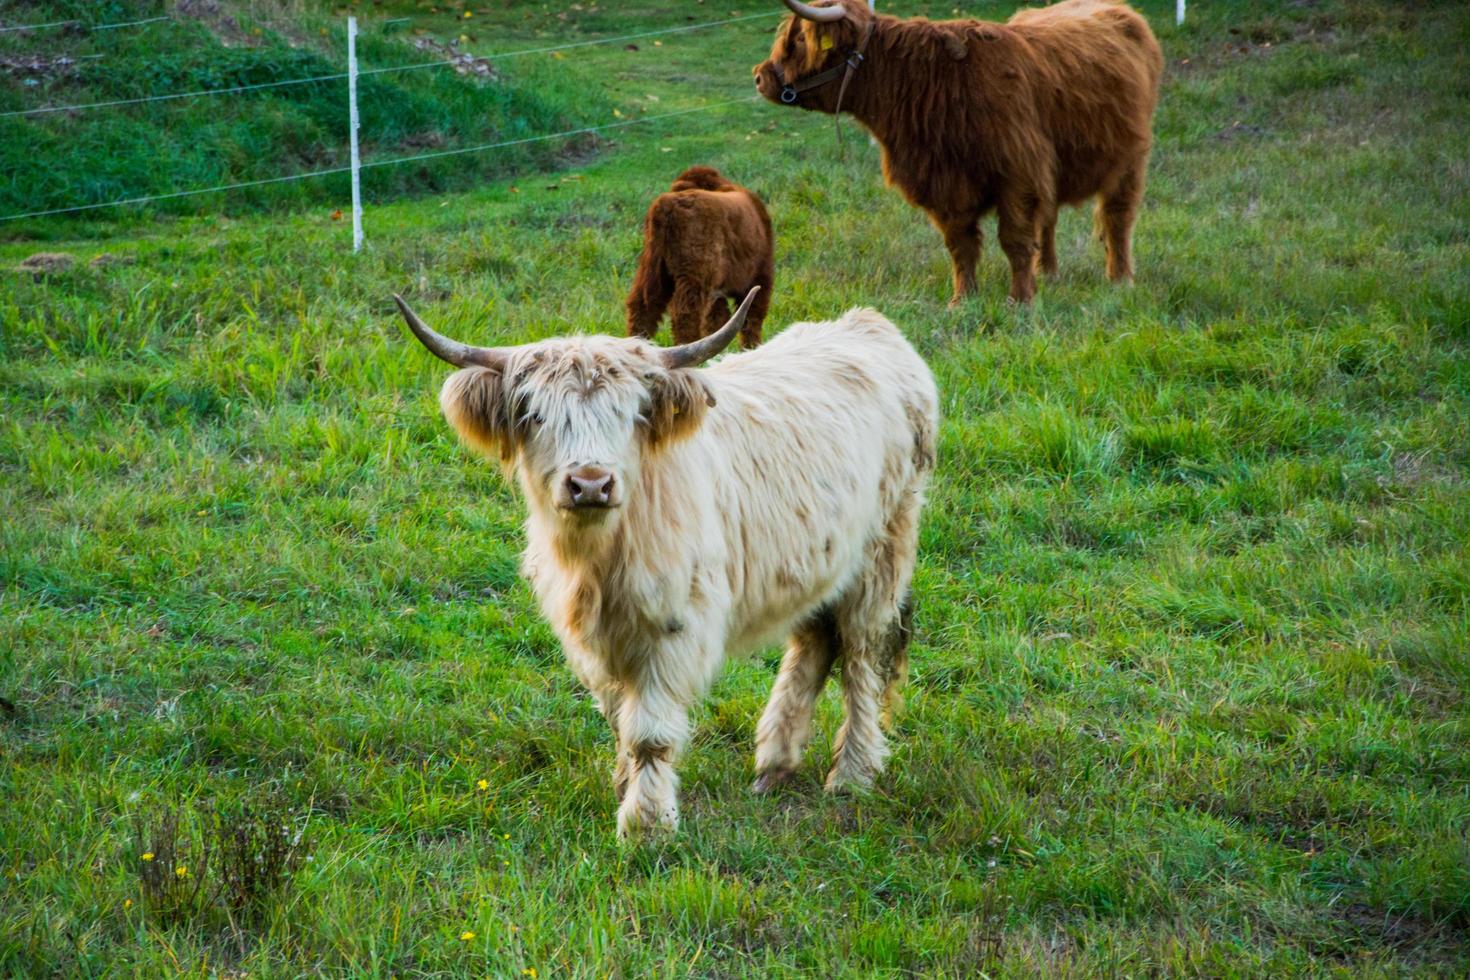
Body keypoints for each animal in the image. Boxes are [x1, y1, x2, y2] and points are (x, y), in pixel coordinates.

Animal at [396, 289, 934, 834]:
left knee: (863, 658)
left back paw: (851, 775)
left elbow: (649, 733)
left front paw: (647, 824)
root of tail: (870, 326)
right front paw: (622, 787)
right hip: (819, 563)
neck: (601, 559)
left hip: (882, 555)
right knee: (814, 645)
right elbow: (618, 717)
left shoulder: (673, 627)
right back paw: (775, 765)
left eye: (630, 414)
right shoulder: (596, 639)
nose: (590, 484)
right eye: (536, 415)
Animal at [626, 167, 776, 348]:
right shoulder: (760, 277)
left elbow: (716, 322)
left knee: (642, 308)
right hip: (694, 277)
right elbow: (751, 320)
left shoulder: (718, 292)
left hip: (653, 269)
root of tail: (667, 203)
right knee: (685, 315)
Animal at [758, 0, 1158, 304]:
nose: (760, 77)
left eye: (798, 40)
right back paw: (1049, 274)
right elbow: (961, 245)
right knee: (1051, 219)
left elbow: (1014, 239)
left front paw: (1020, 300)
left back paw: (1120, 280)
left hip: (1130, 160)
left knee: (1117, 218)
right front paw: (963, 299)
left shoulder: (1020, 174)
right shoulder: (945, 183)